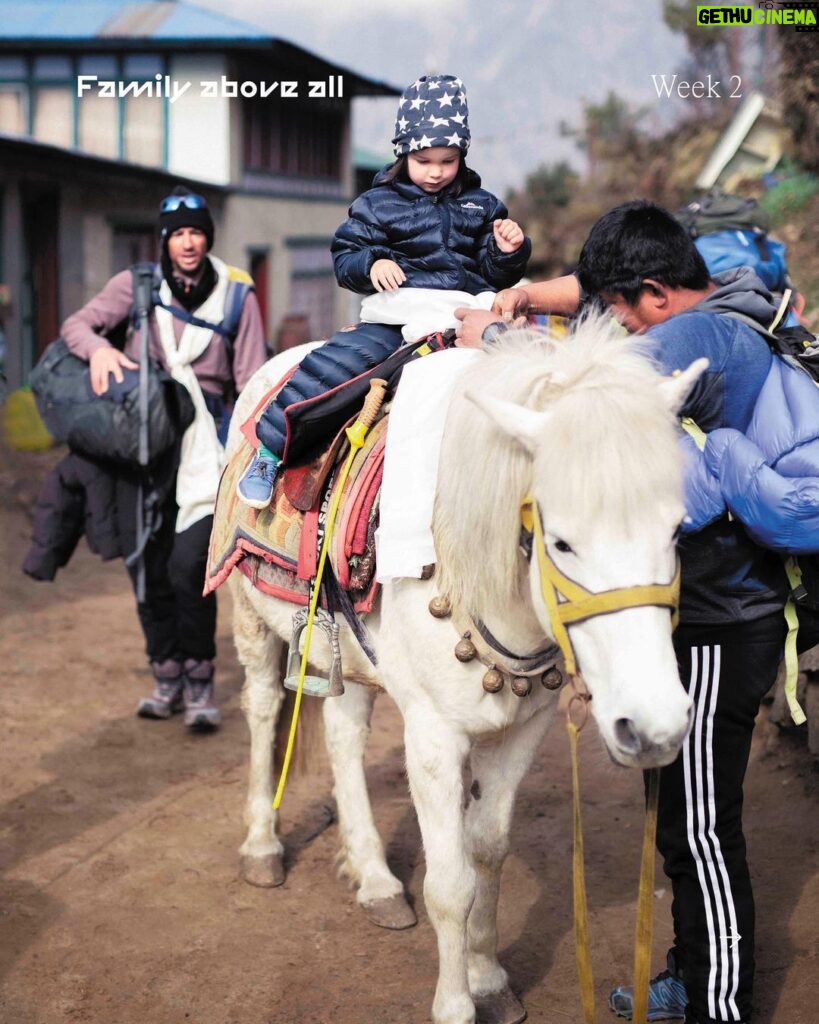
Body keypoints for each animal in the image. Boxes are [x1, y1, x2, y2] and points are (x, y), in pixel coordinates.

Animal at [224, 319, 704, 1024]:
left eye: (675, 531)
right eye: (561, 542)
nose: (656, 725)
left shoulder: (524, 730)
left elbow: (487, 855)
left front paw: (488, 979)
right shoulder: (432, 738)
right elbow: (449, 883)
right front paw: (455, 1003)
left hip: (345, 653)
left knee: (343, 736)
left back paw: (374, 878)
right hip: (252, 620)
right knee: (261, 712)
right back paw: (261, 847)